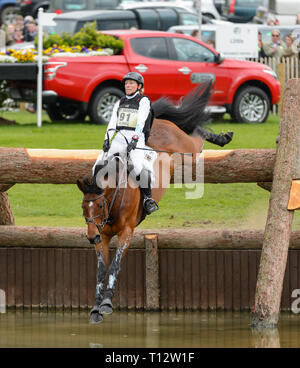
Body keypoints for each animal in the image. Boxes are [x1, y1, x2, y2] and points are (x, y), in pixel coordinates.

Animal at [77, 77, 232, 322]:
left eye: (100, 204)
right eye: (84, 207)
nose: (91, 237)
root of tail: (159, 122)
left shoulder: (126, 232)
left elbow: (115, 266)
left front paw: (107, 303)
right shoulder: (104, 237)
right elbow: (101, 271)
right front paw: (95, 308)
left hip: (188, 151)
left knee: (196, 138)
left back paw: (222, 137)